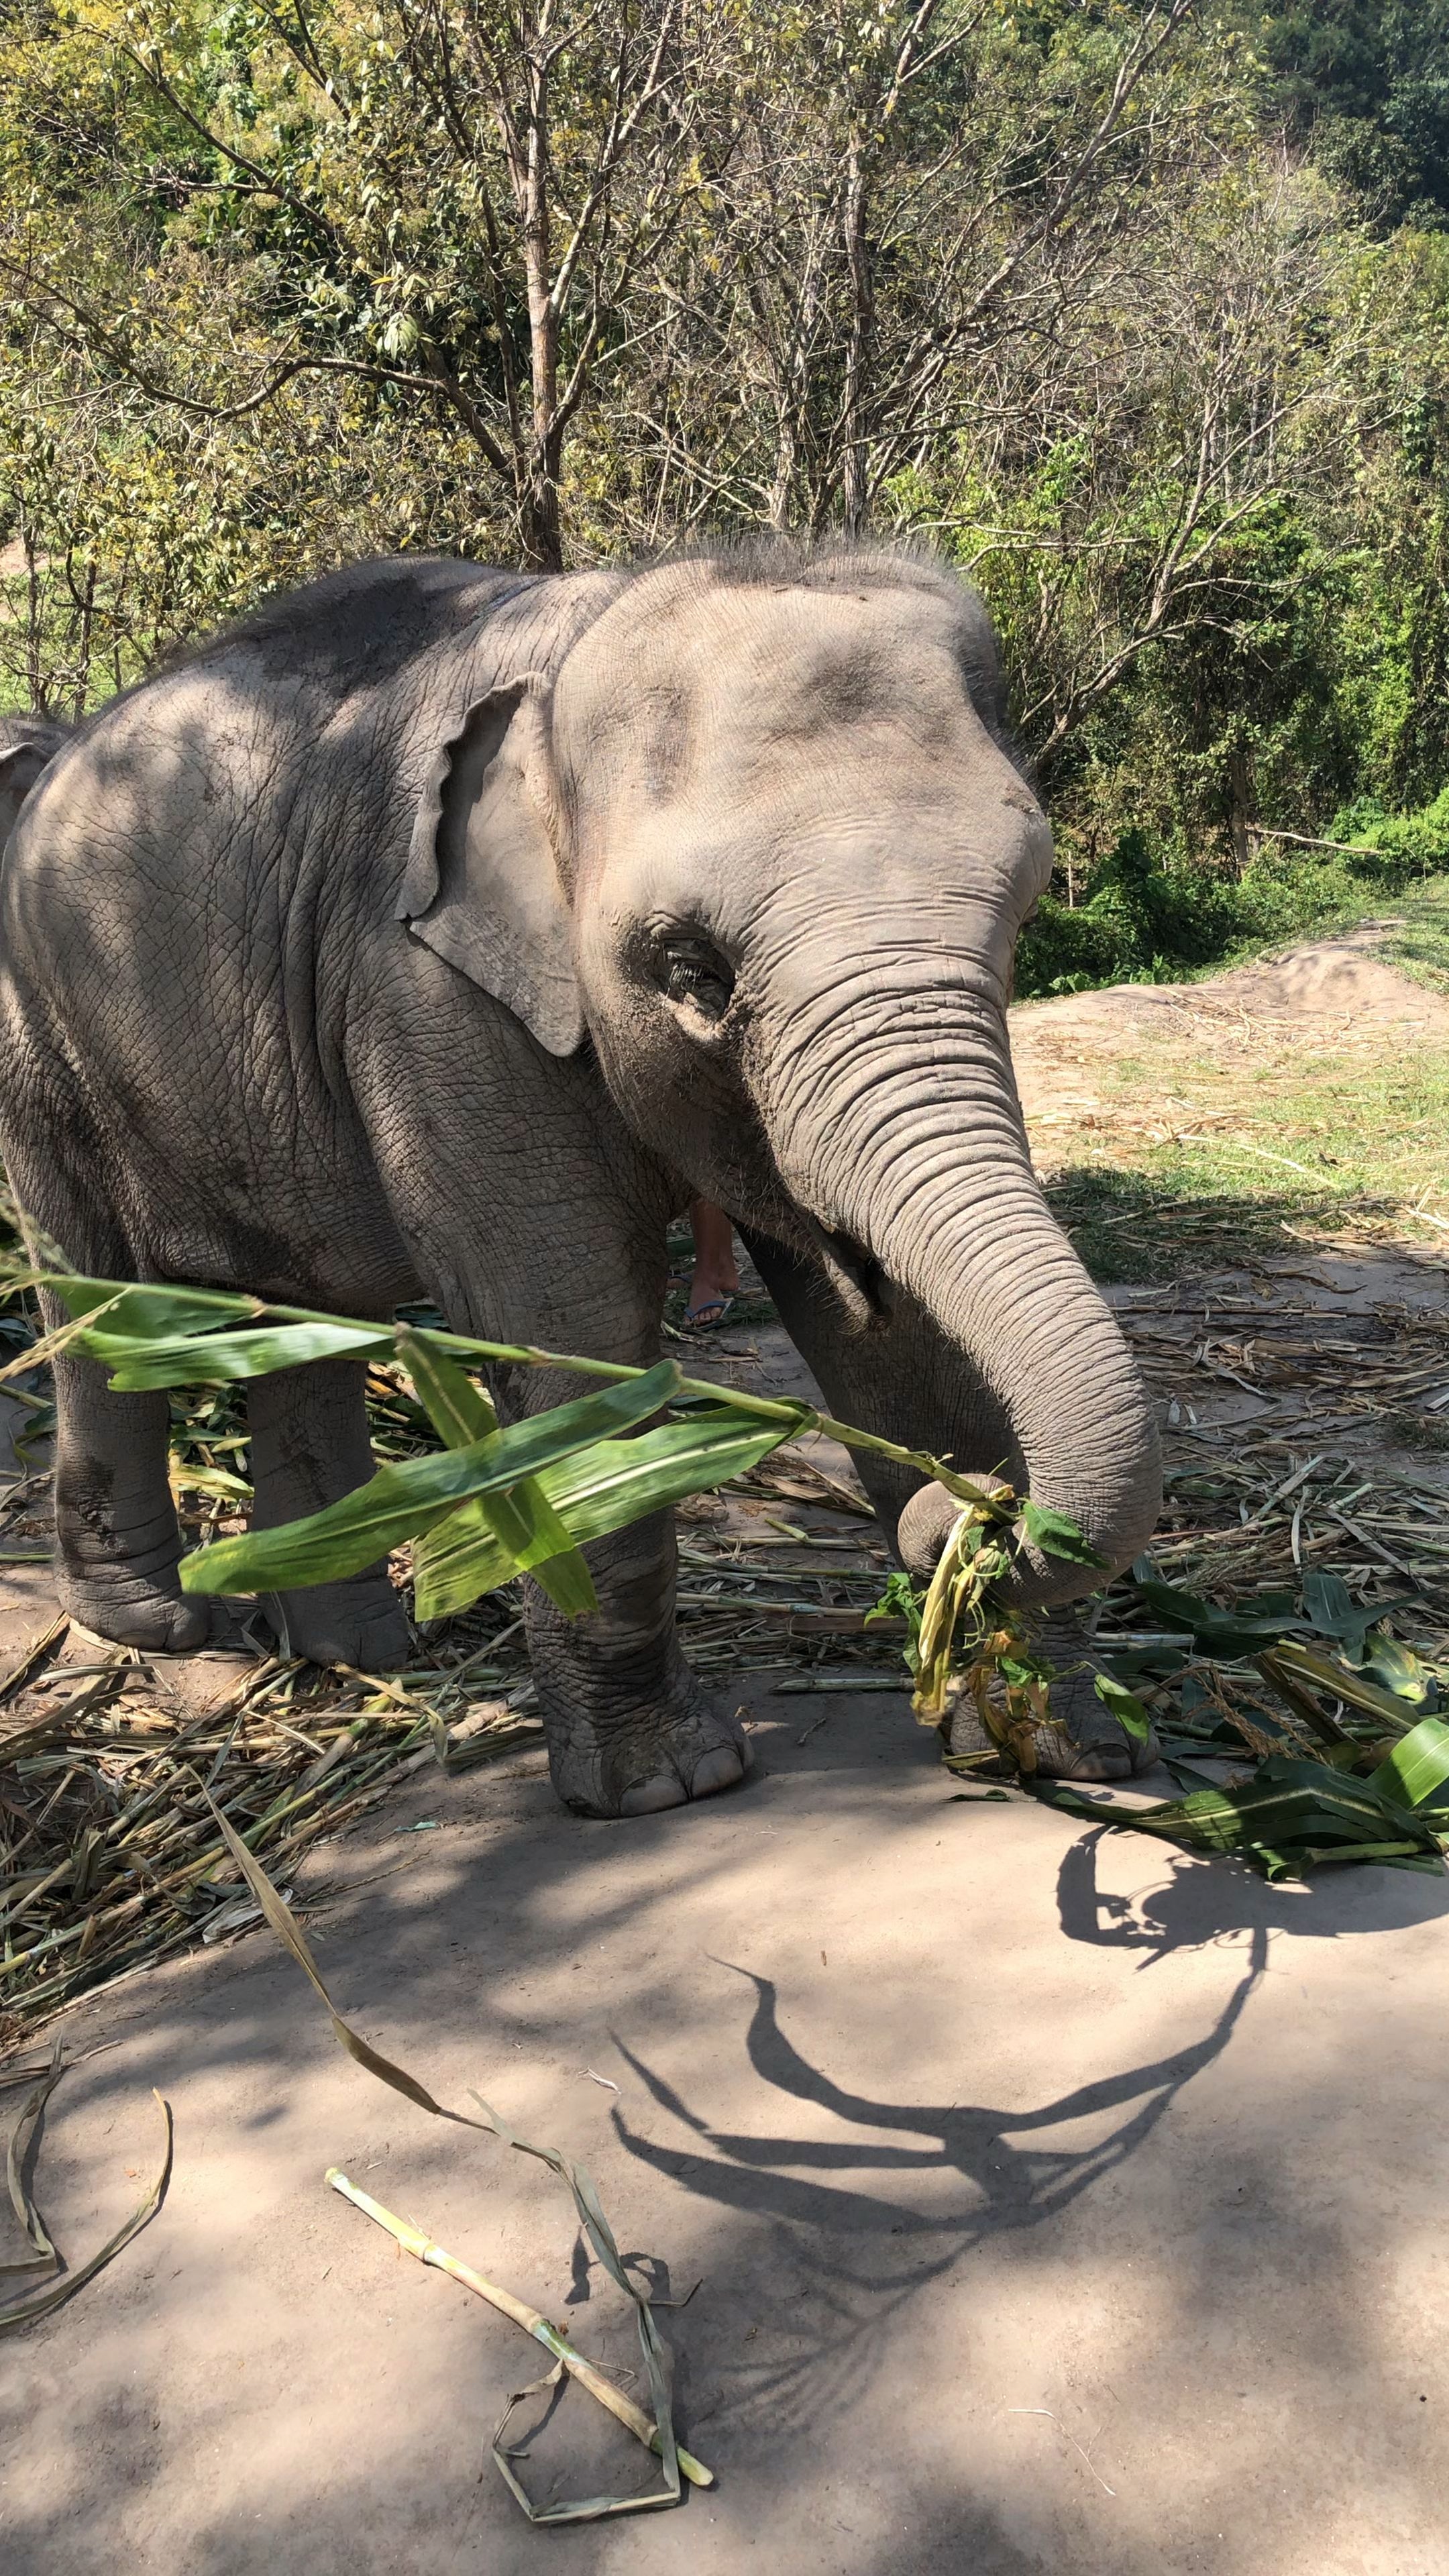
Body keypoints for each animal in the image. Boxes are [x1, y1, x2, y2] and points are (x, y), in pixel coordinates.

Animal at [0, 551, 1155, 1823]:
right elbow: (573, 1324)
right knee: (94, 1300)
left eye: (1023, 912)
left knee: (306, 1316)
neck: (582, 643)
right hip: (38, 1040)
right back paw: (159, 1628)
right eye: (692, 970)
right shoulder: (427, 988)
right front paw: (665, 1788)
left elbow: (888, 1337)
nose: (974, 1510)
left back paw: (360, 1651)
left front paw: (1061, 1744)